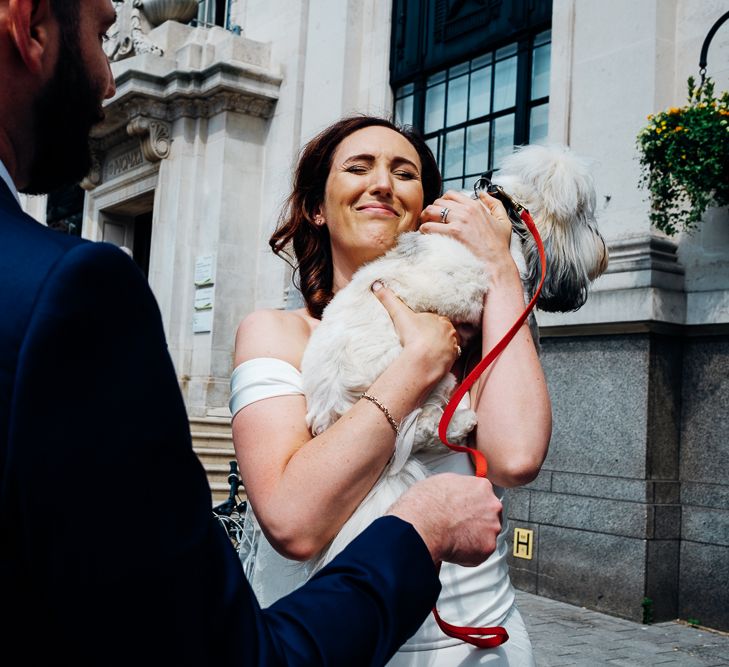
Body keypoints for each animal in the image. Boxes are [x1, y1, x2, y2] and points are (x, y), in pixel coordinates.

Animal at [298, 145, 604, 568]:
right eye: (587, 216)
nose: (604, 249)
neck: (509, 210)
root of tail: (330, 411)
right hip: (428, 375)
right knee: (427, 425)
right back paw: (460, 420)